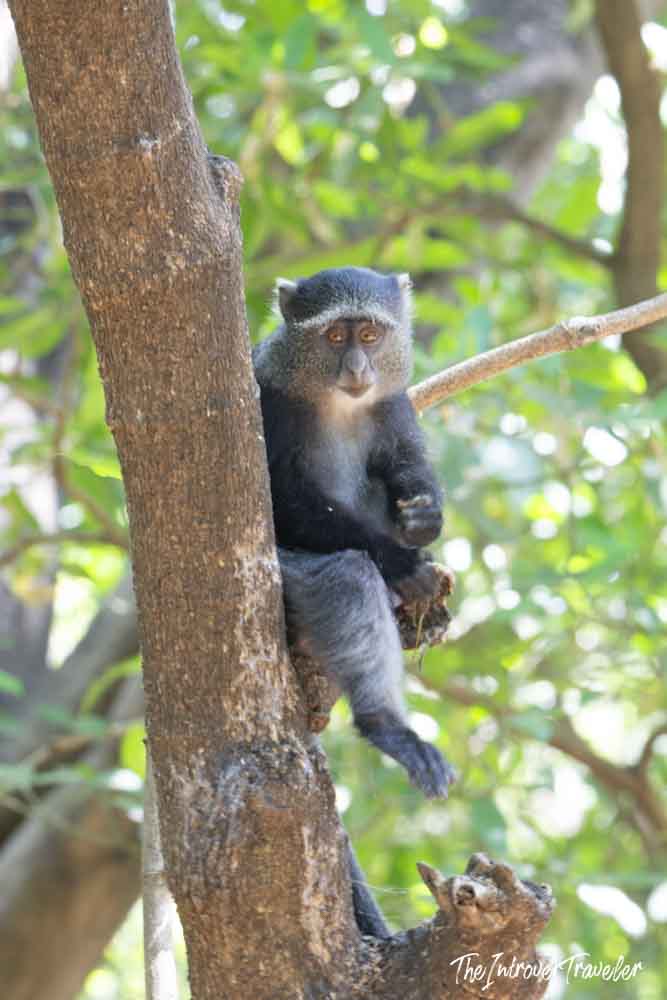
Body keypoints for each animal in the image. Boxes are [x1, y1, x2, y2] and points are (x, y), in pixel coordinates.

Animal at [253, 266, 456, 803]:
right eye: (333, 337)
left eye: (368, 336)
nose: (358, 368)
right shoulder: (266, 400)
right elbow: (283, 504)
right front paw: (401, 561)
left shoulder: (393, 404)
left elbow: (403, 464)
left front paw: (426, 521)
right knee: (348, 577)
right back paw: (387, 725)